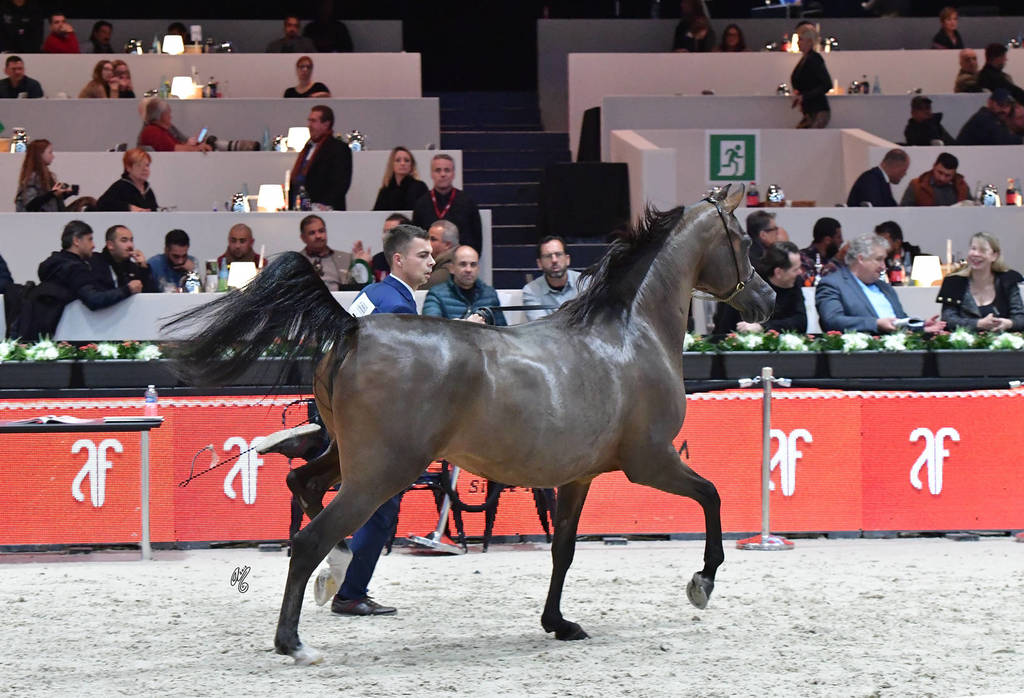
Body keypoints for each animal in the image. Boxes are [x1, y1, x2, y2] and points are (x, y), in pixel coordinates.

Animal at [168, 183, 774, 665]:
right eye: (744, 243)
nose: (767, 299)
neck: (628, 335)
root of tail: (354, 328)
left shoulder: (578, 477)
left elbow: (563, 549)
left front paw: (559, 624)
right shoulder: (649, 460)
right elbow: (712, 496)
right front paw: (702, 582)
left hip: (347, 456)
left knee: (303, 486)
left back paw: (333, 575)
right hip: (381, 473)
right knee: (311, 535)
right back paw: (295, 641)